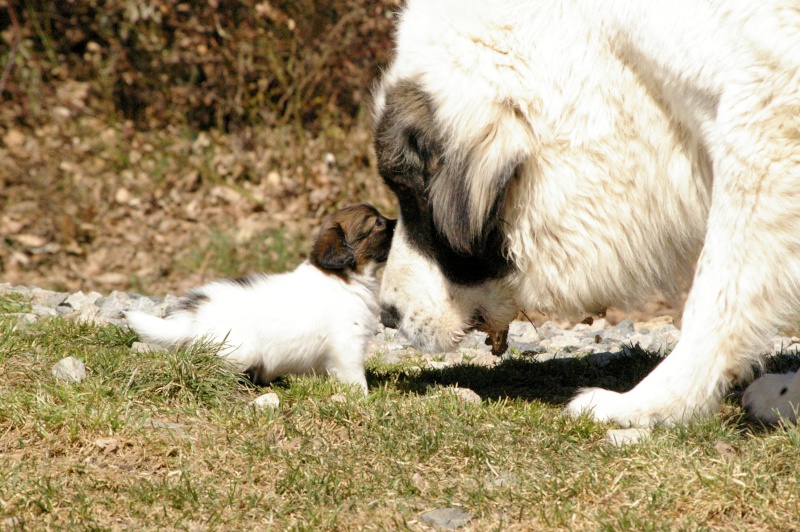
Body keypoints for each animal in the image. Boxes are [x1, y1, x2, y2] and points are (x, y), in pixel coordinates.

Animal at [126, 205, 396, 394]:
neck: (344, 278)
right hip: (239, 350)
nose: (401, 222)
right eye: (378, 222)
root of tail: (196, 314)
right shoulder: (348, 343)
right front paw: (364, 397)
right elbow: (355, 375)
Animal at [376, 0, 800, 426]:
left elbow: (715, 294)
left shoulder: (766, 117)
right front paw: (787, 394)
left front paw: (652, 403)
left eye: (410, 196)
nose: (387, 315)